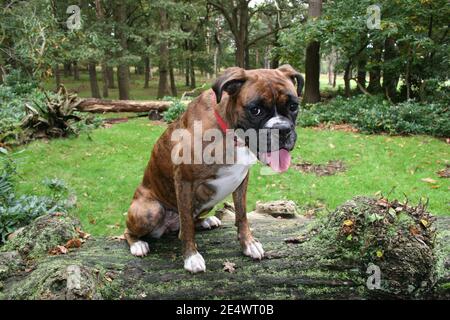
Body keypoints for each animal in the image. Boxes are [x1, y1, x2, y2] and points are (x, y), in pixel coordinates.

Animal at [125, 64, 304, 272]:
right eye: (256, 110)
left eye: (293, 106)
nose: (282, 130)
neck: (231, 134)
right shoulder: (184, 182)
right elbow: (187, 225)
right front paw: (191, 257)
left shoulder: (241, 181)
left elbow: (242, 215)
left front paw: (248, 243)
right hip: (151, 211)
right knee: (130, 231)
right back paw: (138, 244)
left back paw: (205, 221)